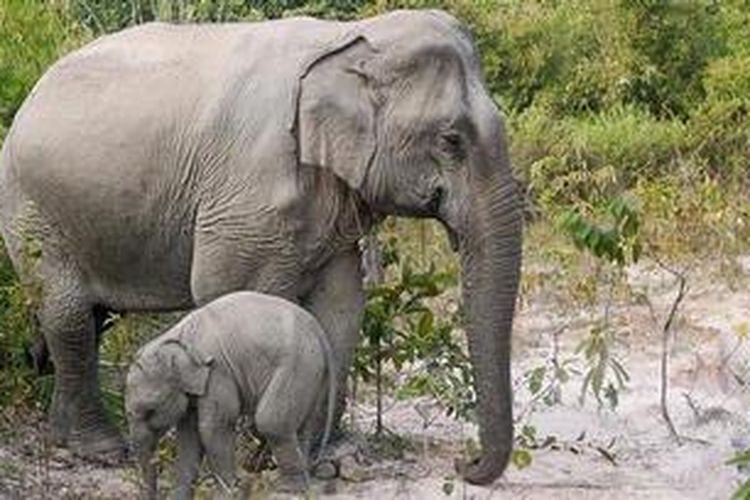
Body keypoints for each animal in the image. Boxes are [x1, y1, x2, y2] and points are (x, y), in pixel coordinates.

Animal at [125, 292, 336, 498]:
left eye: (150, 411)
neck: (179, 337)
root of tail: (318, 330)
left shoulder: (218, 373)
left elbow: (214, 427)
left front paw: (226, 493)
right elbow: (188, 436)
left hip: (297, 365)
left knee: (271, 422)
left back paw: (287, 488)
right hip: (313, 373)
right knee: (304, 424)